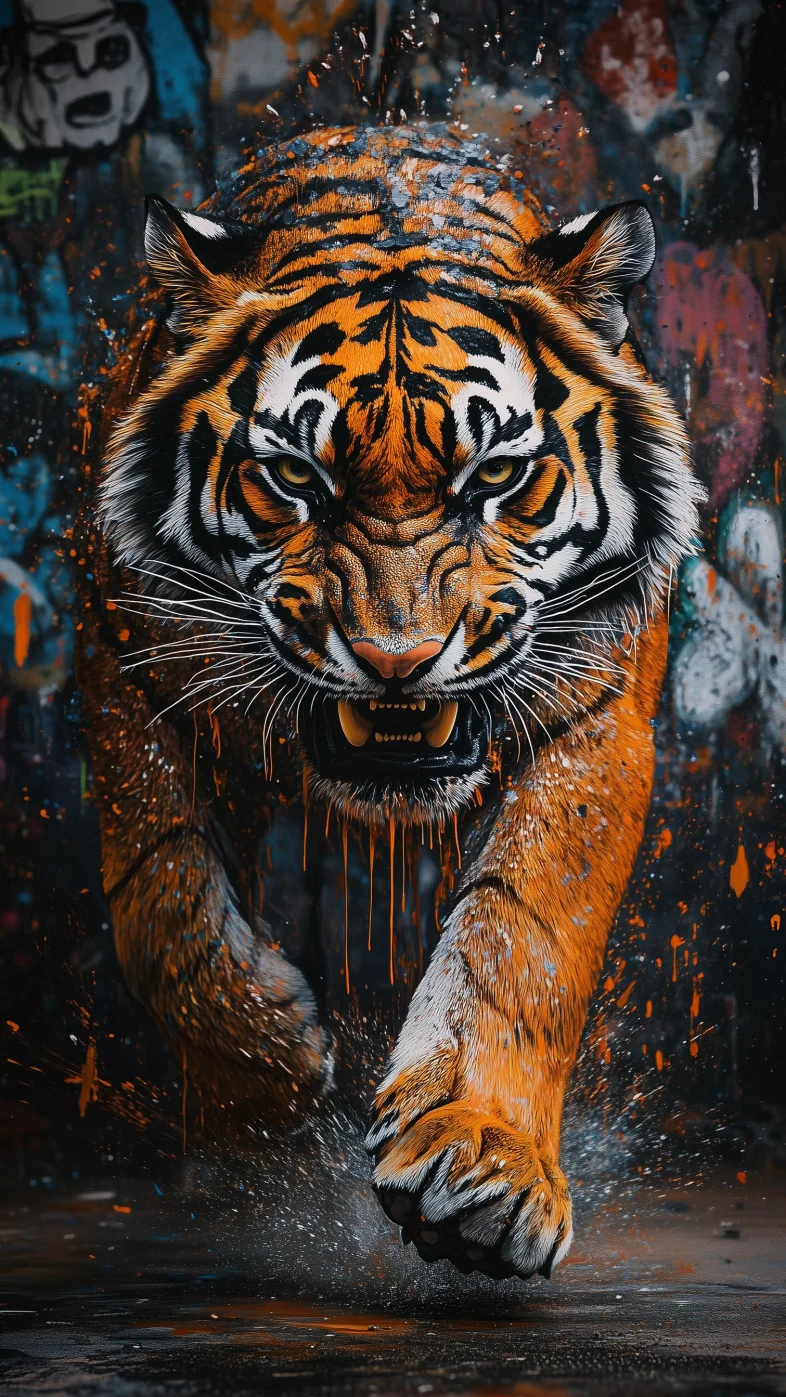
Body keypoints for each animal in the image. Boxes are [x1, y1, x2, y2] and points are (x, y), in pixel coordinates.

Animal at [77, 124, 701, 1282]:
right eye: (295, 478)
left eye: (495, 477)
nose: (396, 659)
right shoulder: (128, 672)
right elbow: (163, 903)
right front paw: (276, 1065)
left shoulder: (597, 715)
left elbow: (526, 927)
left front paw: (482, 1165)